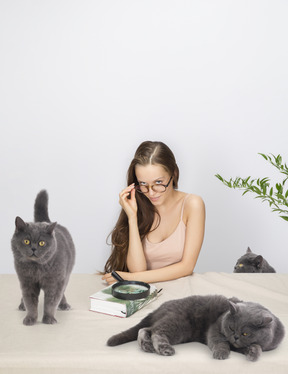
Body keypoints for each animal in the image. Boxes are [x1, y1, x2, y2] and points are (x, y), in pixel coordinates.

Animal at [11, 190, 75, 324]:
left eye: (42, 243)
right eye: (26, 241)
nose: (33, 248)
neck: (37, 268)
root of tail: (45, 221)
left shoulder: (55, 282)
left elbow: (51, 302)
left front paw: (49, 318)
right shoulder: (27, 281)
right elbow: (30, 302)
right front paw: (30, 318)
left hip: (66, 274)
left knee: (63, 290)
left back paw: (64, 304)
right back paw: (22, 305)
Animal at [107, 296, 284, 360]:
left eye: (245, 333)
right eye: (231, 327)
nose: (235, 337)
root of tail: (159, 308)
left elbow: (253, 347)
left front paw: (254, 353)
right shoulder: (215, 328)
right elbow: (220, 342)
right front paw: (221, 353)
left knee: (144, 330)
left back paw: (147, 346)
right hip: (178, 324)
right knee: (156, 332)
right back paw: (164, 349)